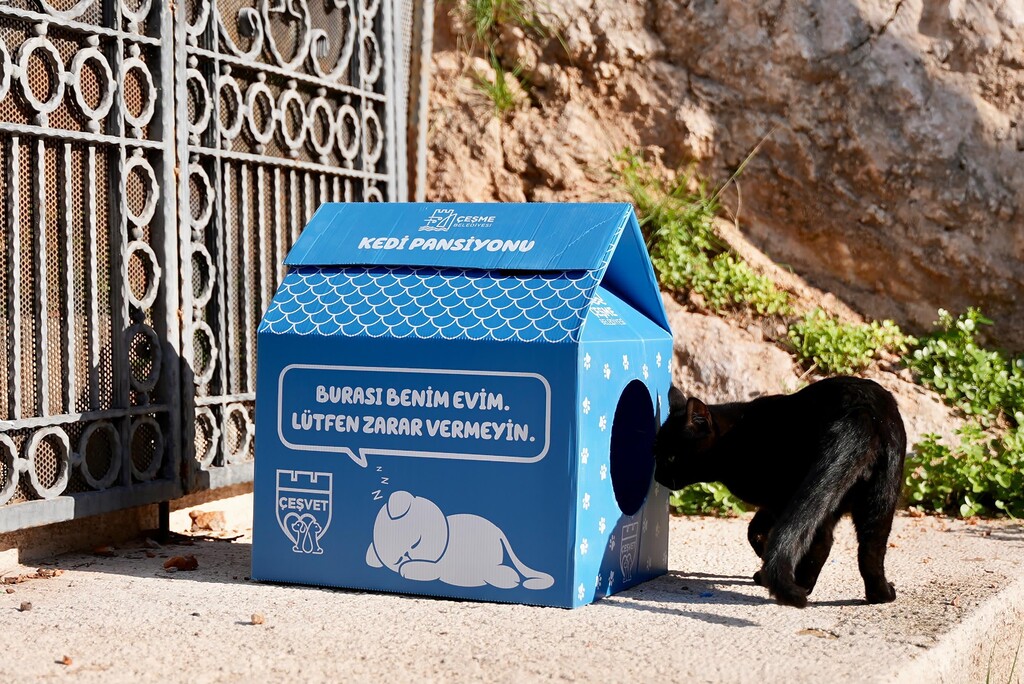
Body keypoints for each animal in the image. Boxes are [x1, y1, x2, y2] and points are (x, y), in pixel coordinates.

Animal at [655, 376, 905, 606]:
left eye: (671, 457)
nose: (657, 476)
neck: (733, 438)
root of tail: (862, 413)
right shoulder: (774, 501)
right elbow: (755, 529)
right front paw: (763, 557)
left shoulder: (778, 498)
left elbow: (759, 530)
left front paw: (763, 563)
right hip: (875, 496)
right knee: (870, 549)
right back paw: (881, 595)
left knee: (822, 541)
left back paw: (802, 585)